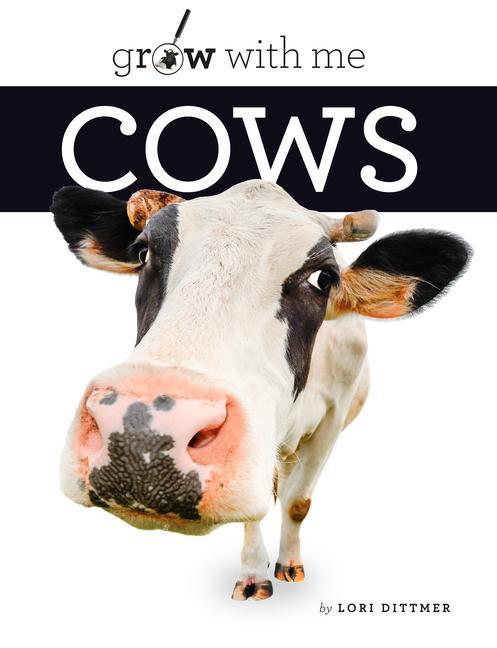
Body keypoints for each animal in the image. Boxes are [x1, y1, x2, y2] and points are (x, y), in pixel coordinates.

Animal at [51, 180, 470, 601]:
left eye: (324, 278)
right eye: (143, 252)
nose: (143, 437)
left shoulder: (332, 420)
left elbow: (298, 502)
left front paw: (290, 564)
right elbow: (256, 510)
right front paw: (254, 573)